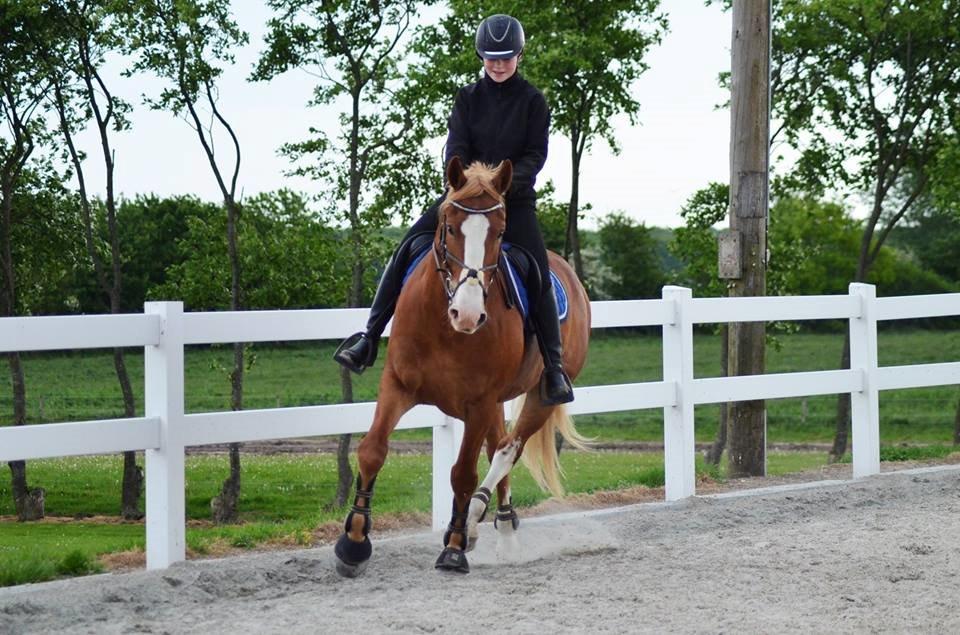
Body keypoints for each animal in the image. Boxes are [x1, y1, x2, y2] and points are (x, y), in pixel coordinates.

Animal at [338, 158, 592, 576]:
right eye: (451, 227)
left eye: (500, 233)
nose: (468, 314)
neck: (446, 327)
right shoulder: (397, 385)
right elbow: (373, 449)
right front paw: (354, 543)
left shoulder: (478, 403)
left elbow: (463, 473)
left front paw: (454, 547)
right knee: (497, 447)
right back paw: (494, 525)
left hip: (539, 397)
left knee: (506, 451)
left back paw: (478, 522)